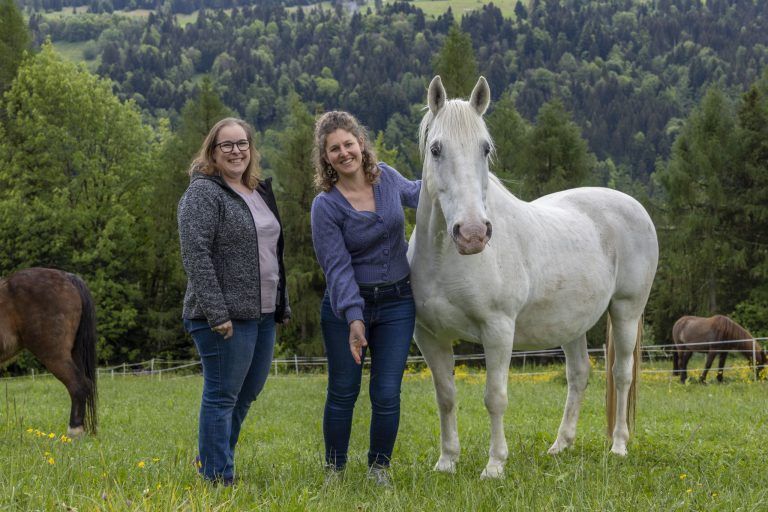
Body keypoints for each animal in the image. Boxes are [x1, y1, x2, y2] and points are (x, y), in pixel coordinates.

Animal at [407, 76, 659, 478]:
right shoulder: (429, 336)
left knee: (621, 374)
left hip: (626, 312)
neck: (446, 259)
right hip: (571, 324)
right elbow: (445, 397)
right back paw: (561, 445)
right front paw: (447, 461)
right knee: (579, 374)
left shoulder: (497, 330)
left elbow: (495, 398)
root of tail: (633, 205)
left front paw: (494, 466)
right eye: (436, 149)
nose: (473, 234)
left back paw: (619, 445)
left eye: (485, 148)